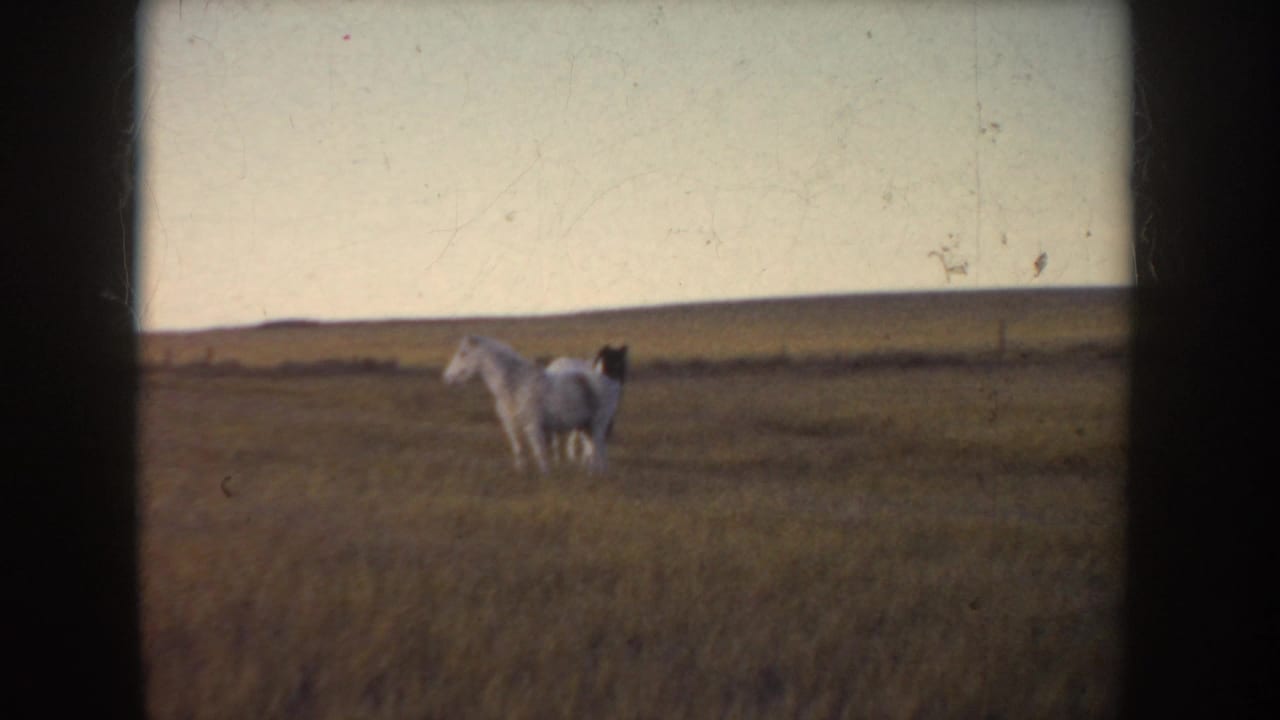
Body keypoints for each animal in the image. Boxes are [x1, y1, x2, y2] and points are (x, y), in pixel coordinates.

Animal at [443, 335, 620, 474]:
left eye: (463, 353)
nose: (448, 377)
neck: (516, 385)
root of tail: (611, 382)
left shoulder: (533, 427)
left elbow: (540, 454)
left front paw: (546, 477)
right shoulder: (512, 428)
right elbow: (519, 452)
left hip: (598, 425)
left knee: (598, 450)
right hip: (586, 426)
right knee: (595, 451)